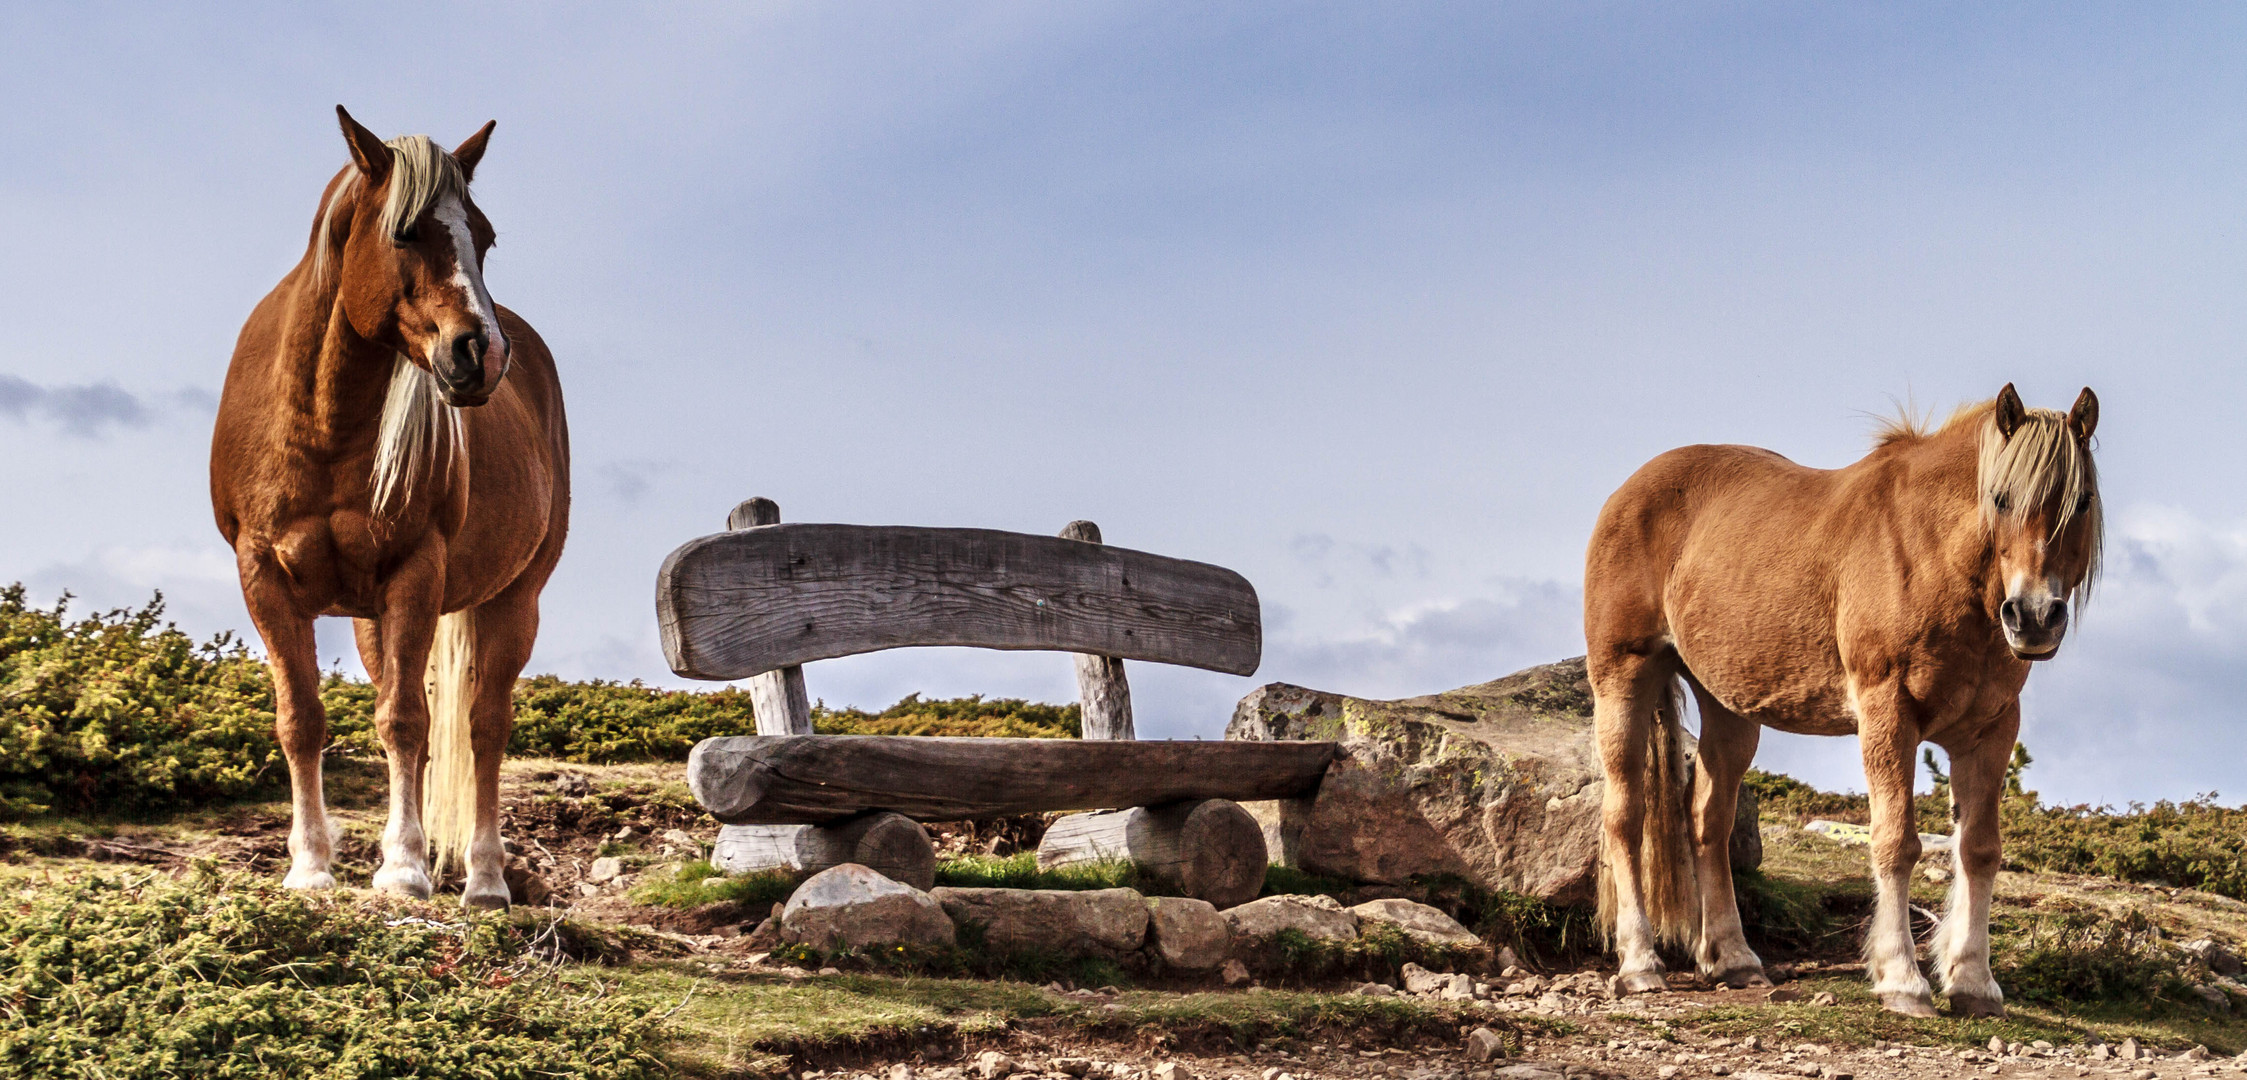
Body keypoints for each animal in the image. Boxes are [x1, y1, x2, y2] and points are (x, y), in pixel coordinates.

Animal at [213, 109, 570, 907]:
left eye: (484, 237)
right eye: (405, 232)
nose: (481, 354)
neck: (322, 424)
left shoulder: (416, 570)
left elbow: (408, 721)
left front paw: (404, 868)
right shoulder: (263, 575)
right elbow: (301, 719)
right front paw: (310, 866)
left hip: (515, 598)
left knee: (482, 725)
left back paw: (485, 879)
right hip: (373, 618)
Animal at [1590, 386, 2094, 1019]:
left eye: (2083, 500)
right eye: (2000, 498)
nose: (2033, 617)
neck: (1932, 556)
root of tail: (1628, 492)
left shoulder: (1991, 729)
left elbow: (1978, 849)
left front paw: (1974, 981)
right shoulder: (1888, 716)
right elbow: (1896, 842)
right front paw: (1902, 978)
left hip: (1728, 708)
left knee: (1708, 819)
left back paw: (1732, 958)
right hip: (1622, 680)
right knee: (1625, 816)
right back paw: (1639, 964)